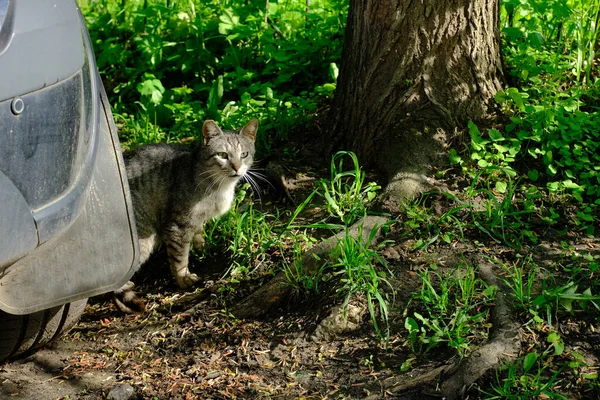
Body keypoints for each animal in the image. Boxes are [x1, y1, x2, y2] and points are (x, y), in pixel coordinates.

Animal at [115, 119, 258, 312]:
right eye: (222, 155)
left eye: (244, 154)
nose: (236, 167)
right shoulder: (177, 225)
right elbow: (179, 256)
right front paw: (184, 278)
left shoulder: (197, 221)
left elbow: (198, 236)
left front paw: (202, 249)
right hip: (141, 240)